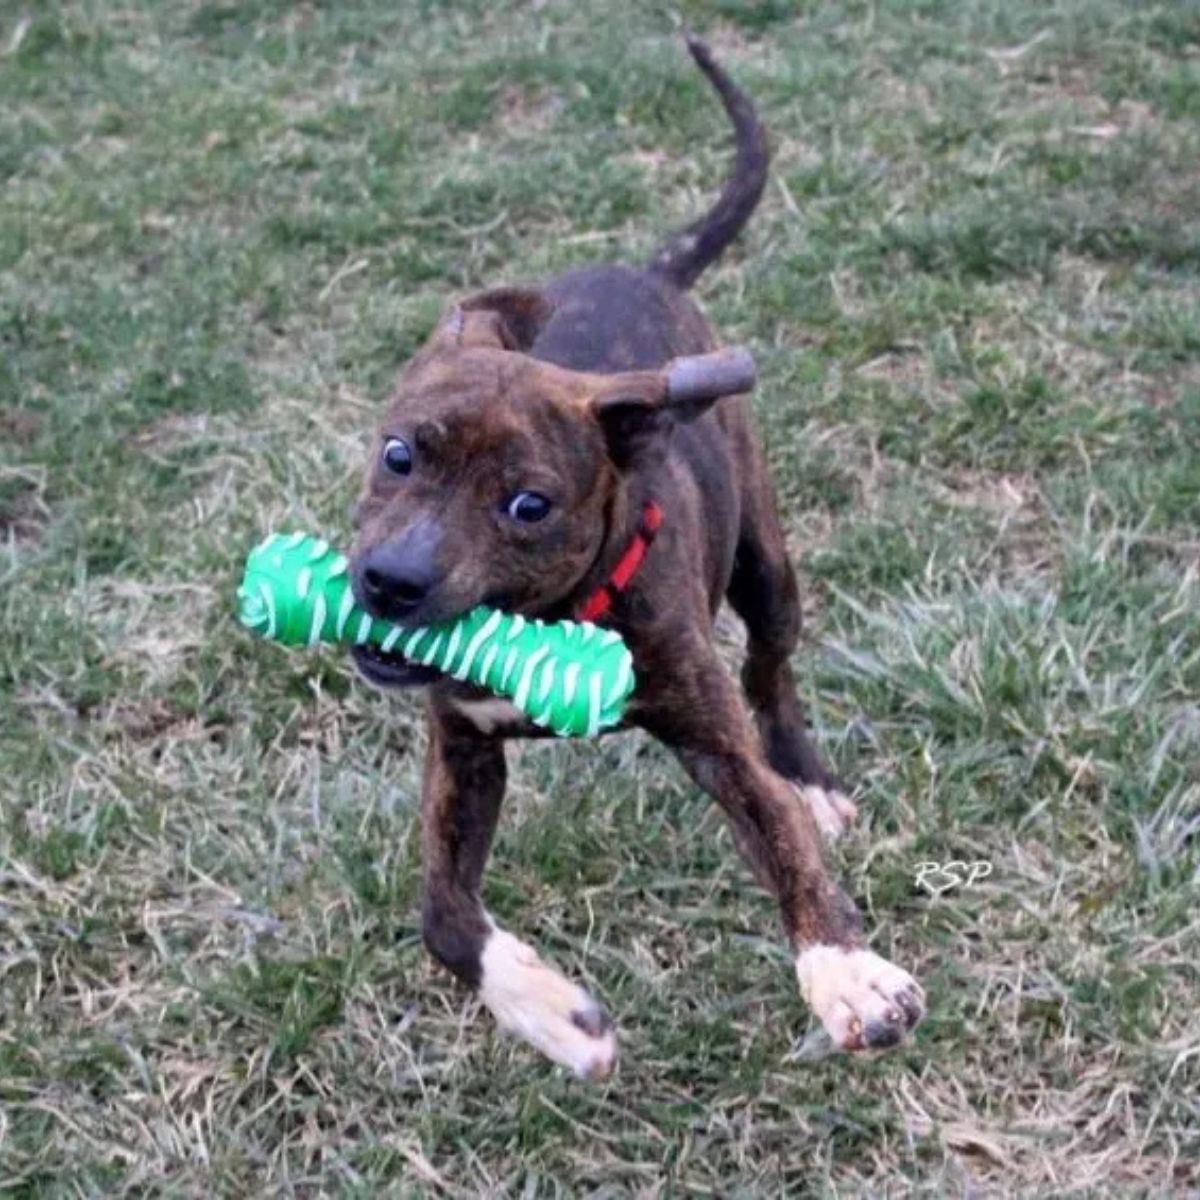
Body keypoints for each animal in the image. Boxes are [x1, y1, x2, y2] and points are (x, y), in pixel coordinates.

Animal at [348, 37, 926, 1080]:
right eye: (400, 454)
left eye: (528, 506)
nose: (391, 582)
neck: (543, 625)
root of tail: (648, 273)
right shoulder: (462, 748)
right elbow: (442, 915)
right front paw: (552, 1016)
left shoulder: (714, 741)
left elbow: (782, 843)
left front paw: (846, 972)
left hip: (766, 568)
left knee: (771, 667)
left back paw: (811, 779)